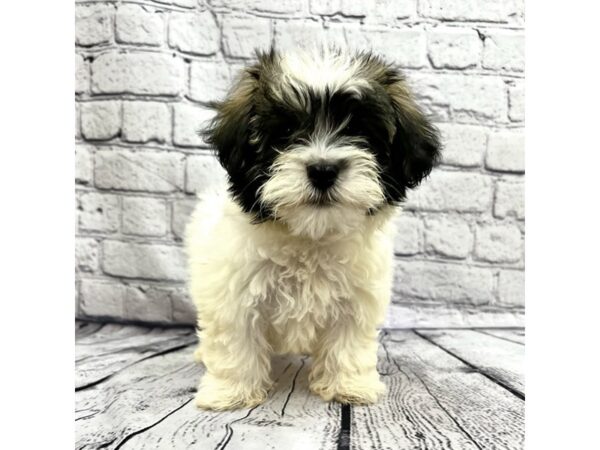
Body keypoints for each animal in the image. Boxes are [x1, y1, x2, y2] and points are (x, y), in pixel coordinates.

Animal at [184, 47, 440, 410]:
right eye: (286, 131)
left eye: (360, 131)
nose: (323, 169)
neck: (309, 237)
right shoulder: (233, 293)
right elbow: (236, 341)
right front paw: (231, 391)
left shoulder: (357, 297)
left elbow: (348, 342)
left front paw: (349, 385)